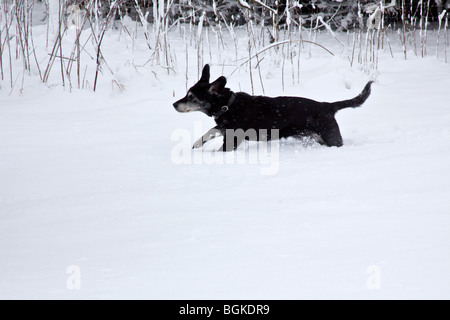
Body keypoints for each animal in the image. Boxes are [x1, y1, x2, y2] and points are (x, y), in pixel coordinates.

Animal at [173, 64, 372, 152]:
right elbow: (209, 132)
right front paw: (196, 144)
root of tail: (327, 106)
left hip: (331, 137)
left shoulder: (232, 140)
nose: (174, 104)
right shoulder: (222, 128)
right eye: (187, 94)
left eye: (191, 97)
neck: (228, 106)